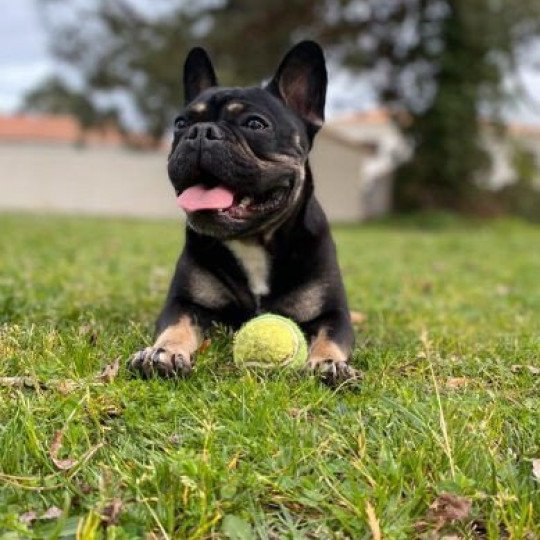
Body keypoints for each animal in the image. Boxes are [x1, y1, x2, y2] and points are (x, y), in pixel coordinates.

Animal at [127, 41, 358, 384]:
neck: (253, 241)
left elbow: (331, 337)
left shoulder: (333, 314)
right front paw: (162, 354)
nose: (201, 131)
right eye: (180, 124)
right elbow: (176, 327)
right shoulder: (185, 302)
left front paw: (327, 363)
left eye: (255, 124)